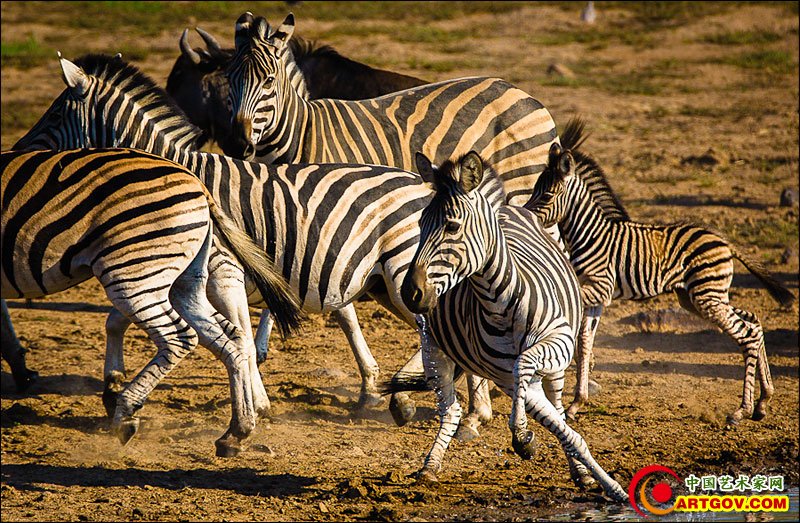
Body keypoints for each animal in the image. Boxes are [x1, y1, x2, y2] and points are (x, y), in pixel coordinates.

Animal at [1, 147, 302, 458]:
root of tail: (197, 183)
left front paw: (23, 372)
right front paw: (21, 369)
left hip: (134, 270)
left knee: (178, 337)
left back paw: (126, 414)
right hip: (185, 280)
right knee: (232, 338)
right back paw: (236, 432)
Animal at [14, 52, 494, 438]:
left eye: (54, 115)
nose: (19, 151)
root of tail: (427, 186)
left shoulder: (217, 268)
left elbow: (235, 333)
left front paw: (250, 406)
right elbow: (121, 320)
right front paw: (115, 388)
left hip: (401, 278)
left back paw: (466, 411)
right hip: (385, 282)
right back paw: (452, 405)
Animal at [384, 149, 628, 502]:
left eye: (452, 226)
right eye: (419, 224)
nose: (410, 293)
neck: (498, 301)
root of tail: (509, 207)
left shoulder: (555, 343)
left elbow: (556, 416)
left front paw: (604, 483)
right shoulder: (503, 375)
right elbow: (555, 424)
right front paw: (525, 440)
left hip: (554, 365)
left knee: (557, 406)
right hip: (433, 347)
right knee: (451, 410)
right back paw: (431, 466)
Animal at [524, 130, 792, 426]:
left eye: (547, 195)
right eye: (535, 190)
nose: (524, 215)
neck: (589, 234)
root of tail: (724, 240)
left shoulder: (599, 288)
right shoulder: (598, 299)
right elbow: (584, 343)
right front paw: (576, 404)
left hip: (707, 297)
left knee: (746, 335)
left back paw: (741, 411)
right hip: (698, 297)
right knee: (753, 322)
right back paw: (763, 401)